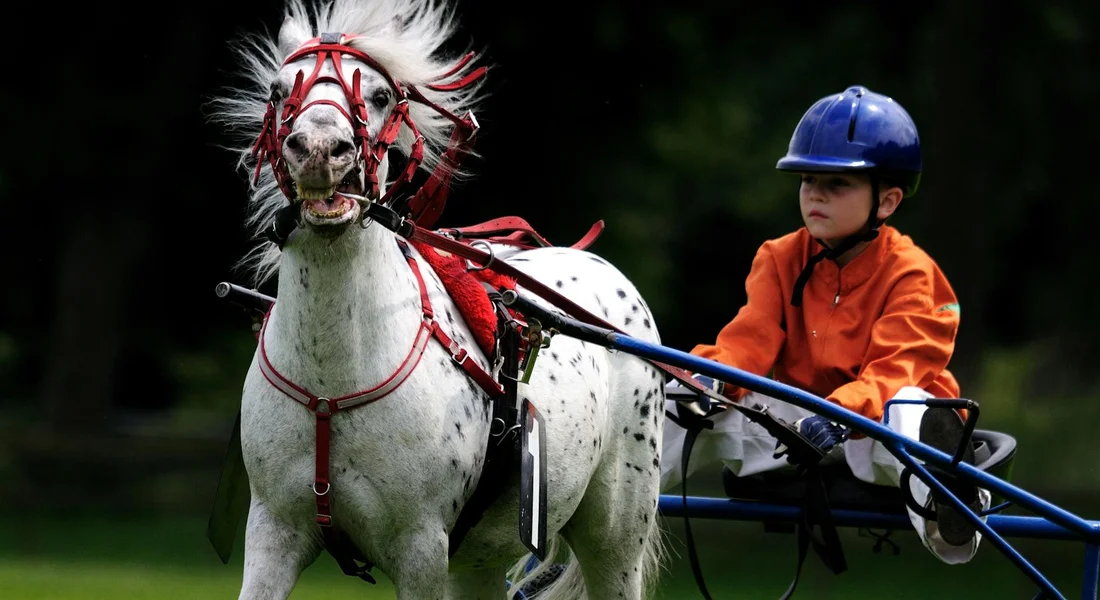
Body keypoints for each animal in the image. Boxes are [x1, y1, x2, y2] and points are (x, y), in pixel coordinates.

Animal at [208, 0, 666, 598]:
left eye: (380, 96)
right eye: (280, 90)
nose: (319, 150)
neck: (332, 381)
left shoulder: (421, 546)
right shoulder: (273, 530)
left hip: (615, 537)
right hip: (480, 560)